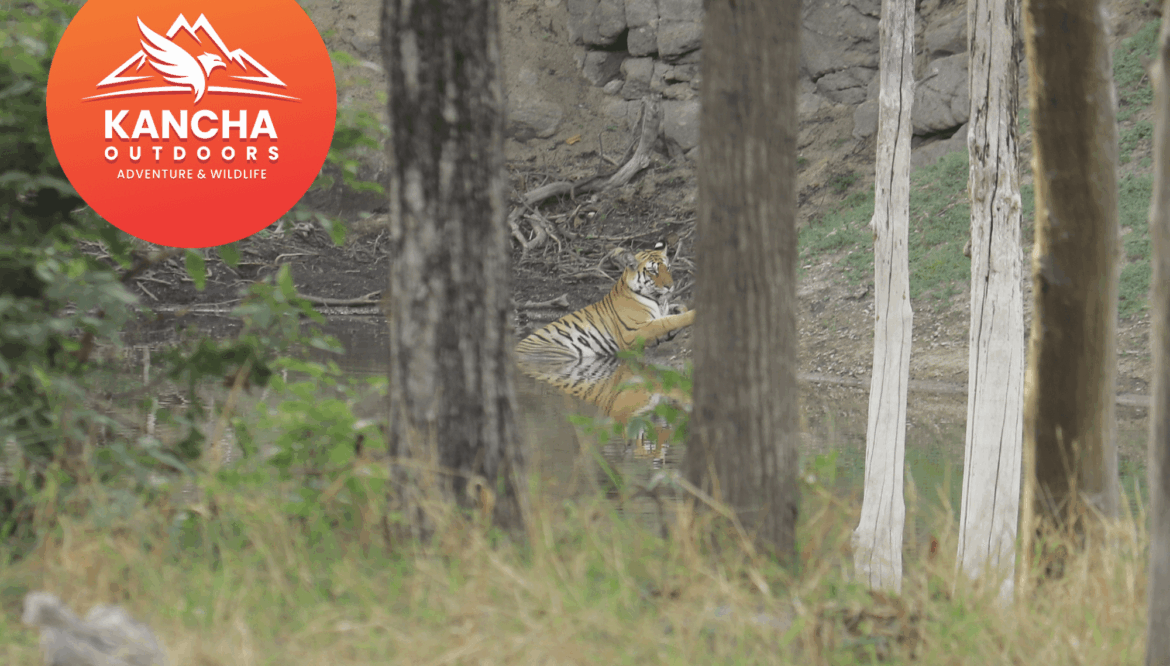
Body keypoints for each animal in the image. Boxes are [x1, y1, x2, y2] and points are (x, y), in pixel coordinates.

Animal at [515, 242, 695, 362]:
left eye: (668, 268)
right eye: (652, 271)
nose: (670, 286)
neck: (658, 300)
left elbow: (675, 313)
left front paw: (679, 309)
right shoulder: (633, 332)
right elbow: (666, 322)